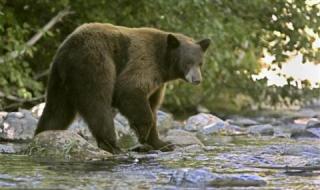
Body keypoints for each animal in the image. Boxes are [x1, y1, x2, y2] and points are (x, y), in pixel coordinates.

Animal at [34, 23, 210, 154]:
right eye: (188, 62)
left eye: (200, 63)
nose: (197, 79)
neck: (163, 62)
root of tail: (67, 50)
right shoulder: (145, 61)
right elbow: (129, 89)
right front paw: (143, 132)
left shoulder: (159, 84)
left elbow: (153, 106)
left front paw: (162, 143)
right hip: (94, 63)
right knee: (98, 104)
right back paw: (112, 145)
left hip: (58, 80)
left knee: (56, 110)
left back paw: (43, 134)